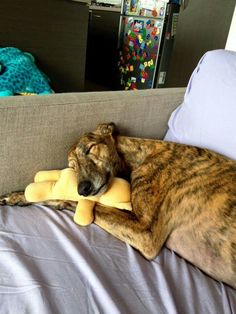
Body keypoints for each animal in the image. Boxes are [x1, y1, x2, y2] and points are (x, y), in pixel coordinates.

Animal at [0, 121, 235, 288]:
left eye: (90, 149)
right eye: (72, 167)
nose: (83, 188)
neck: (142, 154)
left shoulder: (146, 234)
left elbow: (80, 201)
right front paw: (18, 196)